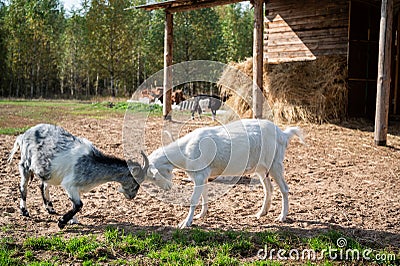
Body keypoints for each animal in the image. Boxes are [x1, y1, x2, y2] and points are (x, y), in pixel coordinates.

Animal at [7, 123, 148, 228]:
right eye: (136, 183)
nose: (132, 197)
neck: (92, 162)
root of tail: (23, 135)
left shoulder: (75, 188)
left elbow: (74, 204)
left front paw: (71, 220)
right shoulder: (69, 185)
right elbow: (79, 204)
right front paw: (62, 222)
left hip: (48, 171)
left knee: (43, 186)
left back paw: (50, 208)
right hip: (25, 164)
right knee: (23, 187)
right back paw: (24, 211)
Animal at [144, 119, 304, 229]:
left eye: (153, 177)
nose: (168, 188)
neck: (185, 150)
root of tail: (283, 134)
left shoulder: (200, 174)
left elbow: (193, 199)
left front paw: (186, 223)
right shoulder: (202, 175)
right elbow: (204, 195)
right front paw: (201, 215)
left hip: (275, 163)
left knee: (284, 188)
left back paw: (282, 216)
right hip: (261, 168)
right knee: (268, 188)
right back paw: (261, 213)